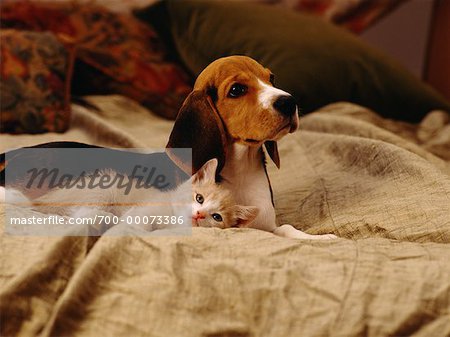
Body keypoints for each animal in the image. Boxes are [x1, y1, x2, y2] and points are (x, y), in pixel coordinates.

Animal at [167, 55, 336, 239]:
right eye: (236, 89)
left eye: (271, 79)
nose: (290, 102)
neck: (241, 172)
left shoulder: (269, 226)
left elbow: (287, 228)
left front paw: (321, 238)